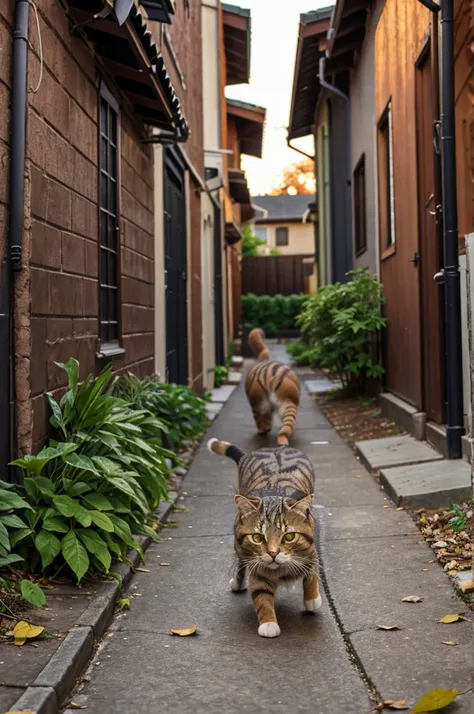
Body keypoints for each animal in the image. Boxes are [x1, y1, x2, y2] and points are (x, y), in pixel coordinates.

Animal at [206, 436, 320, 636]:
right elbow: (261, 594)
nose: (273, 553)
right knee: (240, 567)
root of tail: (274, 447)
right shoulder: (256, 565)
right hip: (240, 549)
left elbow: (311, 572)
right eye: (257, 538)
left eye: (289, 536)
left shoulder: (311, 550)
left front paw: (312, 598)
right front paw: (268, 623)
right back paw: (238, 583)